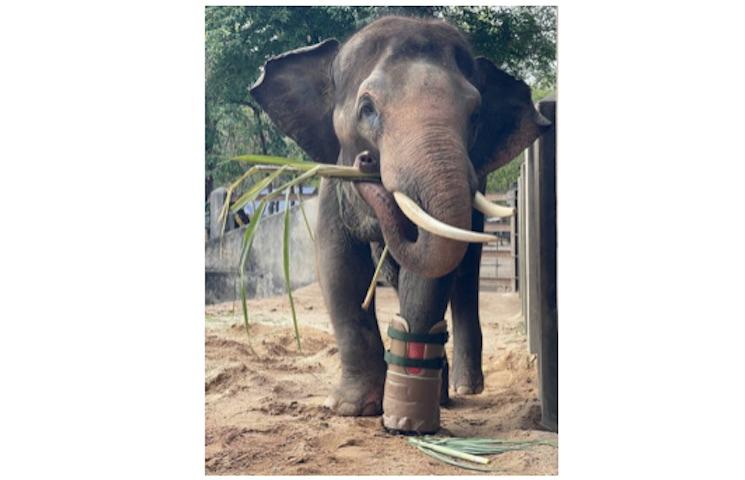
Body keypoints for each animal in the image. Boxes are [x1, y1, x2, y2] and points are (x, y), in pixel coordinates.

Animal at [250, 15, 550, 433]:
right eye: (367, 108)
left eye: (475, 115)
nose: (365, 162)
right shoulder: (333, 184)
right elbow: (338, 267)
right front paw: (352, 409)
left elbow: (428, 275)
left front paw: (407, 419)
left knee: (464, 278)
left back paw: (460, 389)